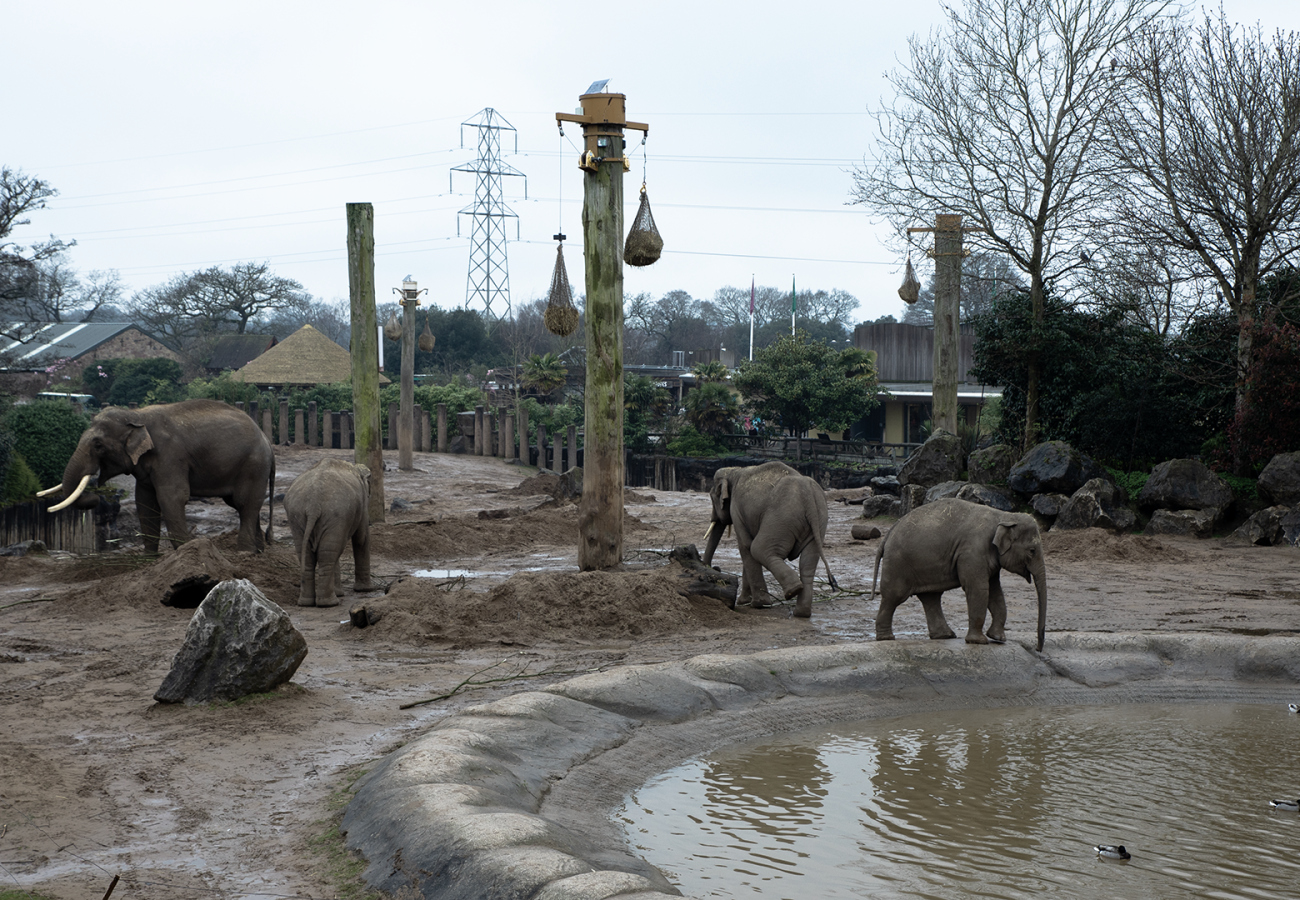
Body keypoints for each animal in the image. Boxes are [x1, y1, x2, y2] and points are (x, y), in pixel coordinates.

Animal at [41, 397, 273, 551]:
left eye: (98, 445)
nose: (97, 497)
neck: (137, 416)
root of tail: (267, 439)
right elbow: (145, 501)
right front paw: (149, 559)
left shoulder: (170, 456)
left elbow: (171, 497)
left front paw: (187, 553)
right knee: (244, 505)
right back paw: (259, 552)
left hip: (254, 465)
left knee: (244, 503)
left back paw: (244, 552)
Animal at [283, 460, 379, 608]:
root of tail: (313, 503)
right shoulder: (362, 504)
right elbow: (361, 538)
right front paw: (367, 590)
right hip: (334, 513)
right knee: (327, 555)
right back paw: (329, 603)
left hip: (297, 516)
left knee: (314, 555)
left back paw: (307, 603)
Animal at [707, 460, 837, 616]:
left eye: (712, 498)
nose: (716, 568)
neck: (733, 470)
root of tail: (809, 497)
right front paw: (745, 601)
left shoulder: (736, 509)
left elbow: (746, 546)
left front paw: (757, 604)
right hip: (818, 521)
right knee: (808, 563)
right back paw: (801, 613)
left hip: (781, 518)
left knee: (759, 548)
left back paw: (793, 591)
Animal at [868, 496, 1050, 650]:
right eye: (1032, 551)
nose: (1038, 649)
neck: (1004, 516)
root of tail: (888, 535)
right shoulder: (972, 552)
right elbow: (979, 589)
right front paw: (979, 641)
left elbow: (995, 592)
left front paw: (998, 638)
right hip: (898, 563)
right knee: (894, 596)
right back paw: (886, 638)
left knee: (931, 597)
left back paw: (945, 635)